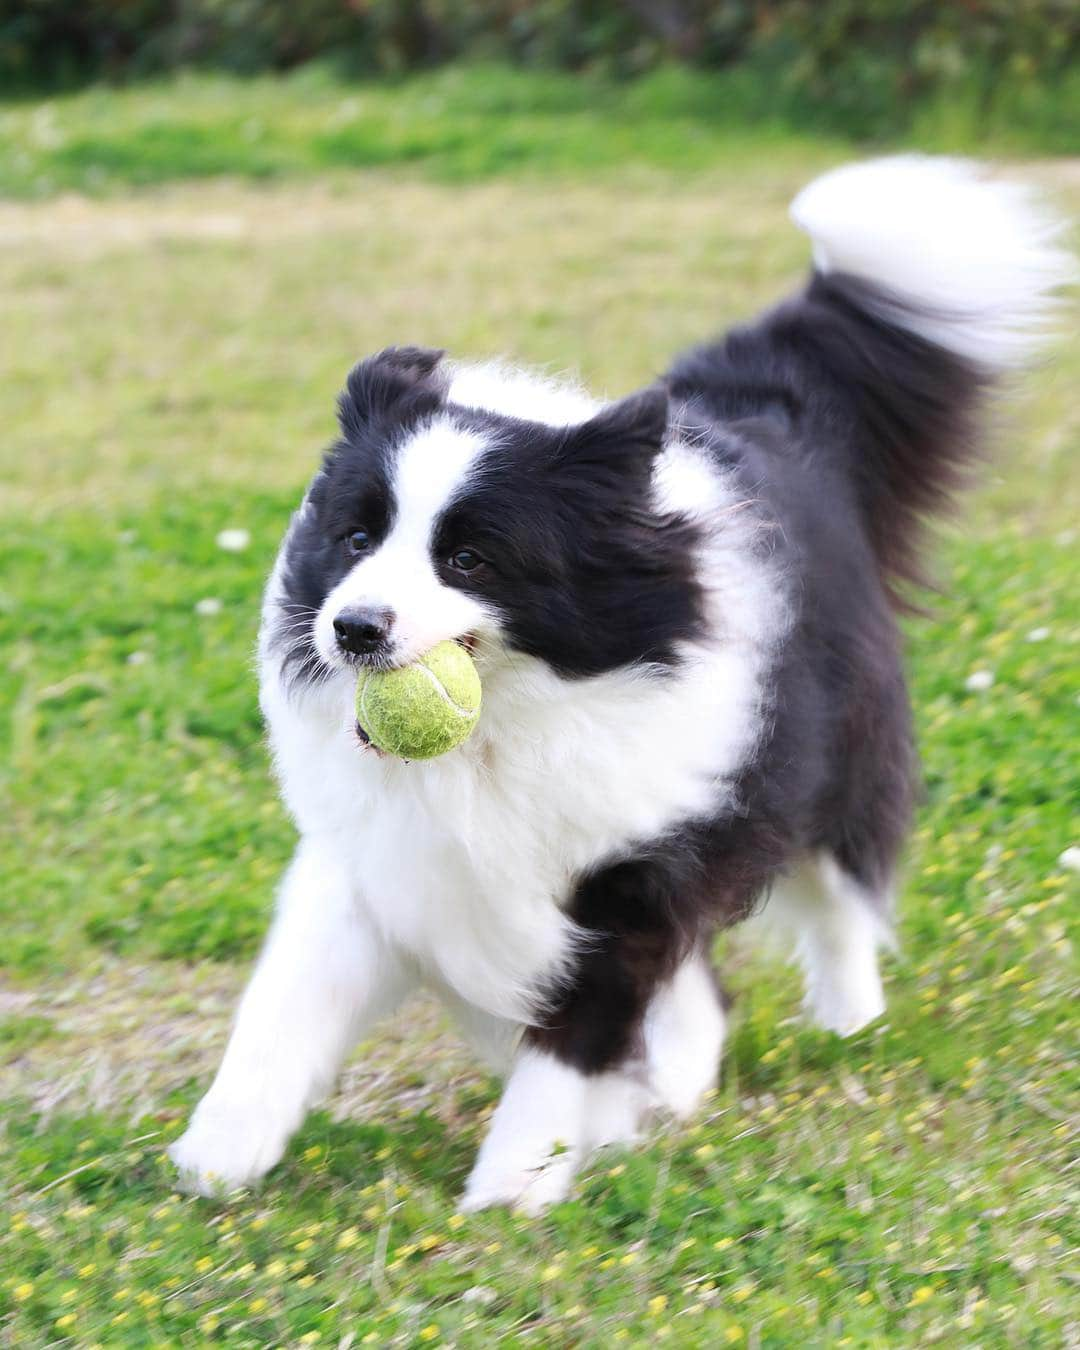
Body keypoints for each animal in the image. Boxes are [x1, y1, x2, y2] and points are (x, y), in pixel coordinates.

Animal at [170, 157, 1069, 1215]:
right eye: (355, 538)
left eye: (469, 559)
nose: (352, 629)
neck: (502, 730)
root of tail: (774, 414)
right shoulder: (380, 862)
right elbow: (288, 1007)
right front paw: (214, 1159)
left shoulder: (629, 875)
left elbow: (573, 1040)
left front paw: (513, 1190)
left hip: (837, 756)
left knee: (843, 893)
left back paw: (847, 1027)